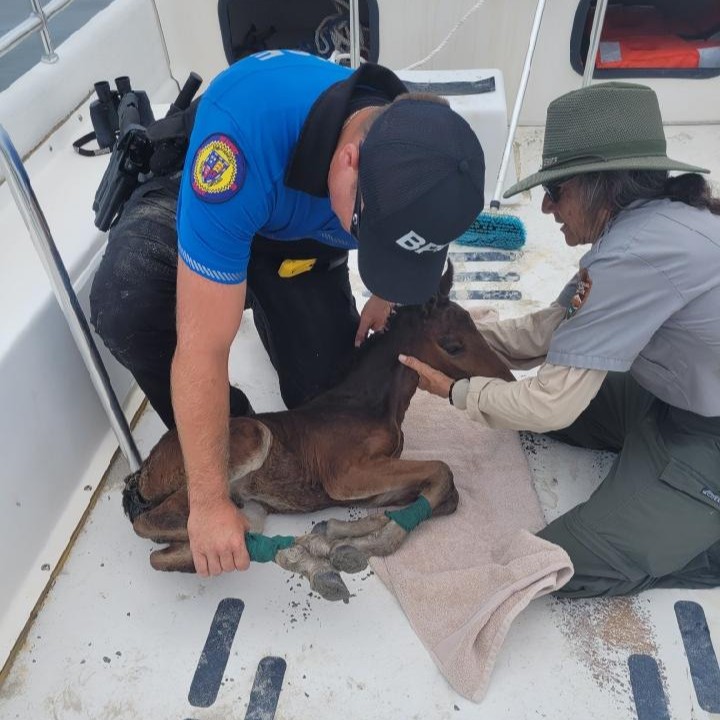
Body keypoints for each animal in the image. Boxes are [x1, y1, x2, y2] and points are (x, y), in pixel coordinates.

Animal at [126, 264, 516, 600]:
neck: (369, 404)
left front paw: (332, 537)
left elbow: (445, 495)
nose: (510, 381)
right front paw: (361, 546)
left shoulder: (376, 485)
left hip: (250, 504)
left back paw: (305, 559)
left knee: (189, 546)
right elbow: (443, 472)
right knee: (156, 523)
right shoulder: (345, 476)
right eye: (452, 345)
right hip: (248, 440)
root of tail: (143, 473)